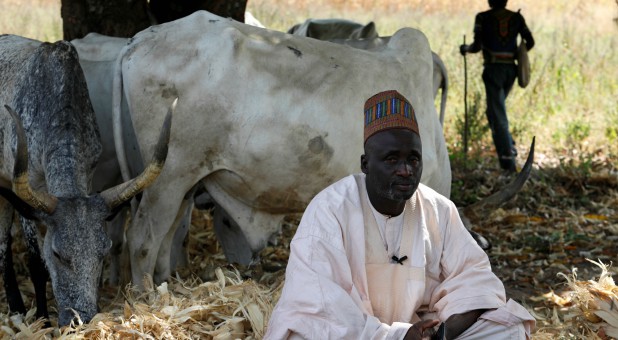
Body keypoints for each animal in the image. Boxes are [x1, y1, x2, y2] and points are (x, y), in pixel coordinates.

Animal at [0, 35, 170, 326]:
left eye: (102, 252)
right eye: (57, 254)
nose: (80, 318)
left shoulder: (89, 171)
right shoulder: (27, 187)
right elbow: (36, 261)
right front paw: (42, 318)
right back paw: (17, 307)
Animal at [106, 11, 448, 286]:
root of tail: (137, 41)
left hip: (184, 181)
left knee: (166, 238)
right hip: (169, 174)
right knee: (142, 239)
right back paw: (146, 298)